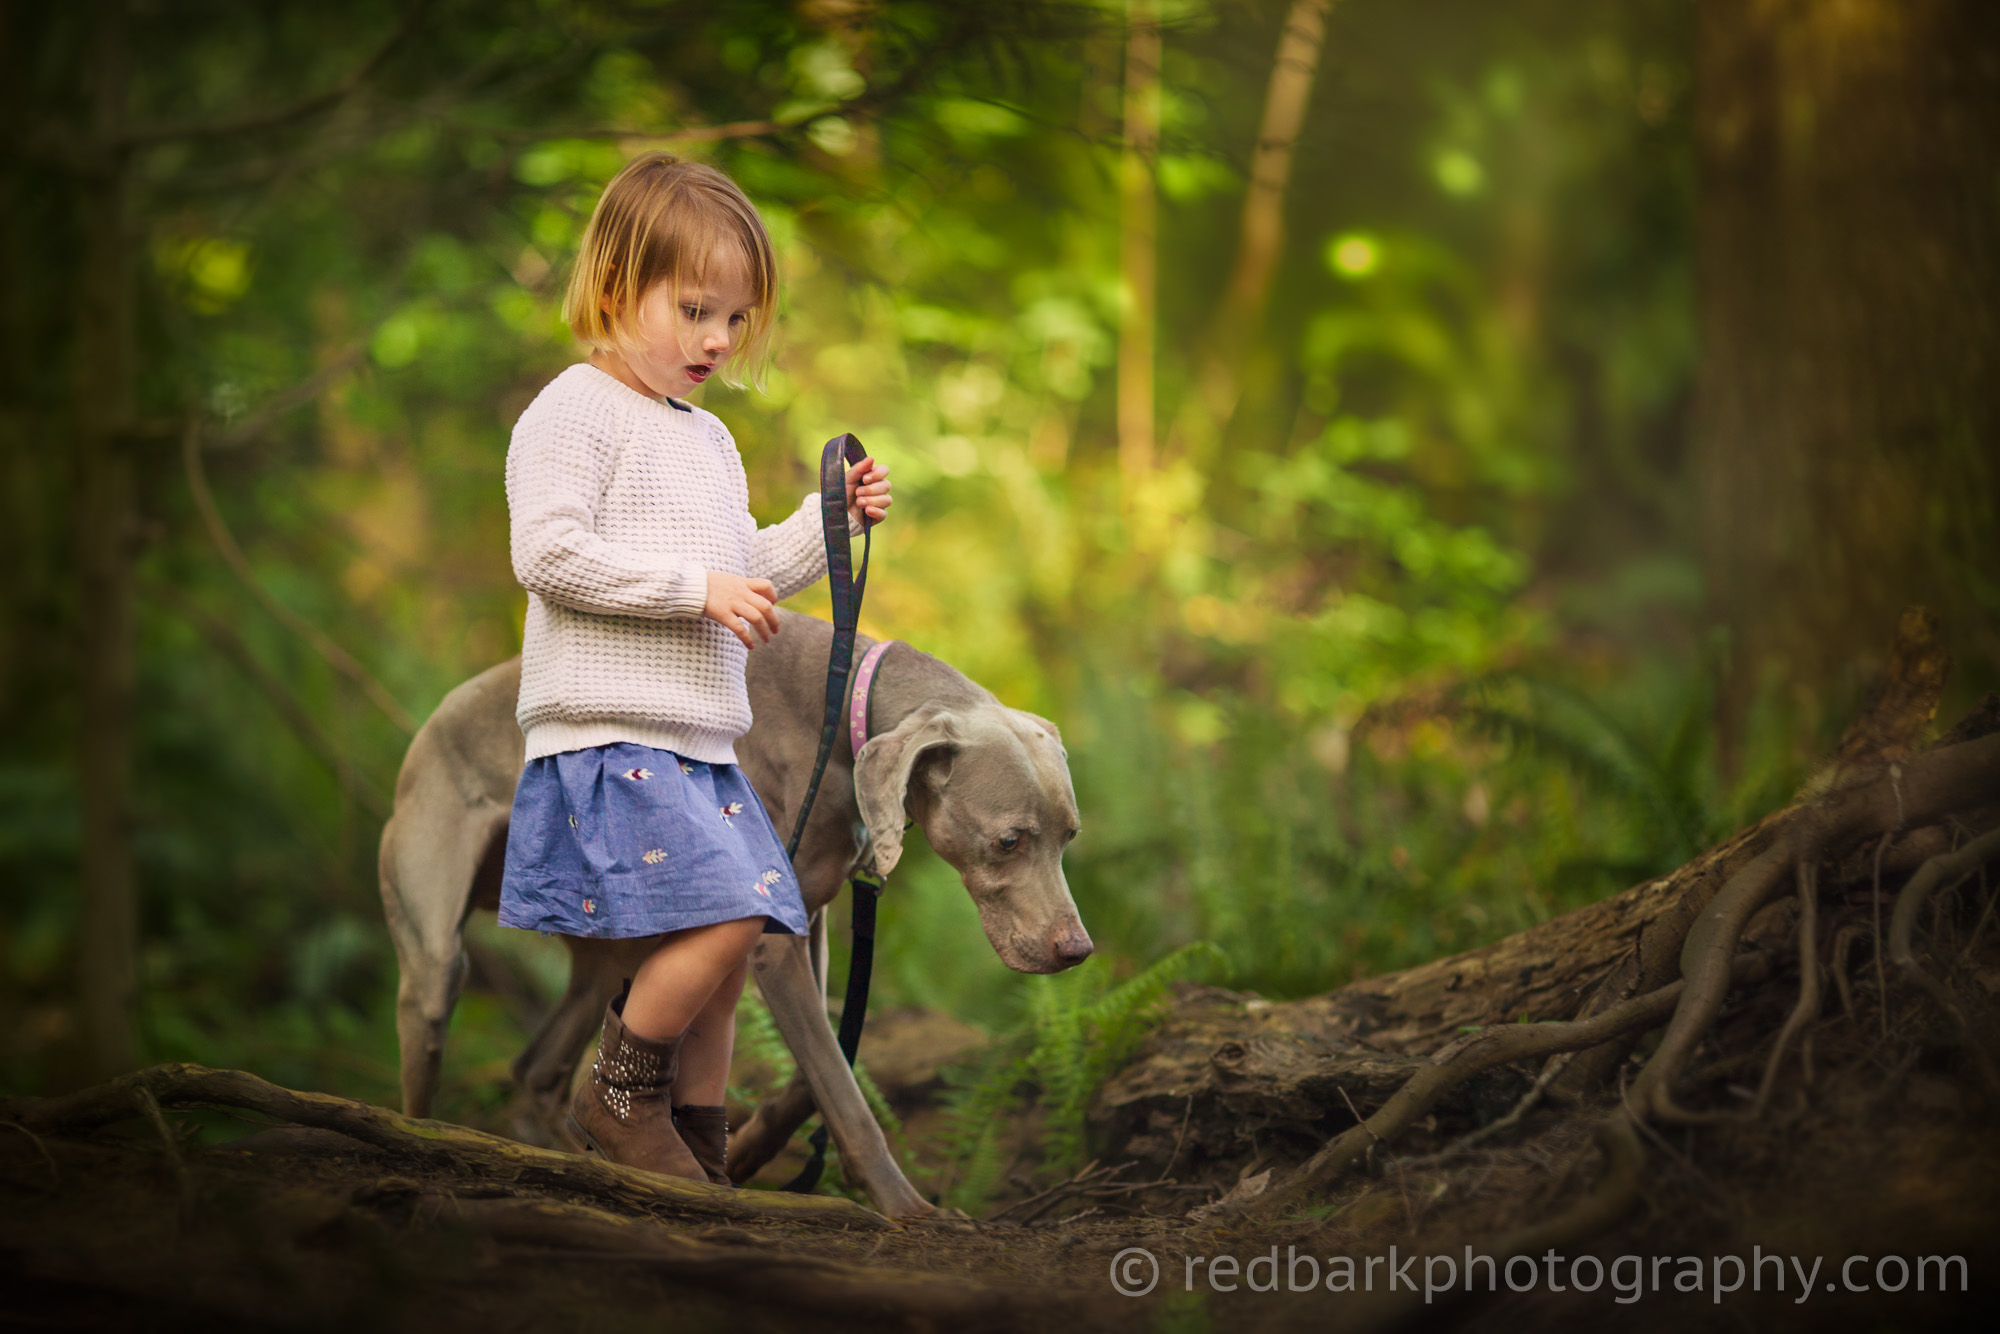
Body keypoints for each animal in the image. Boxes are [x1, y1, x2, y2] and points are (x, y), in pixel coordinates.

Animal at [378, 612, 1096, 1216]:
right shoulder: (775, 943)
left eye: (1070, 836)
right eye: (1009, 841)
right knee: (431, 1055)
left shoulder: (809, 923)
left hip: (612, 946)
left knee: (542, 1066)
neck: (843, 714)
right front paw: (906, 1209)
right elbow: (841, 1085)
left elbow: (830, 1062)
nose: (1078, 952)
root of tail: (431, 726)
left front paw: (748, 1151)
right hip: (434, 960)